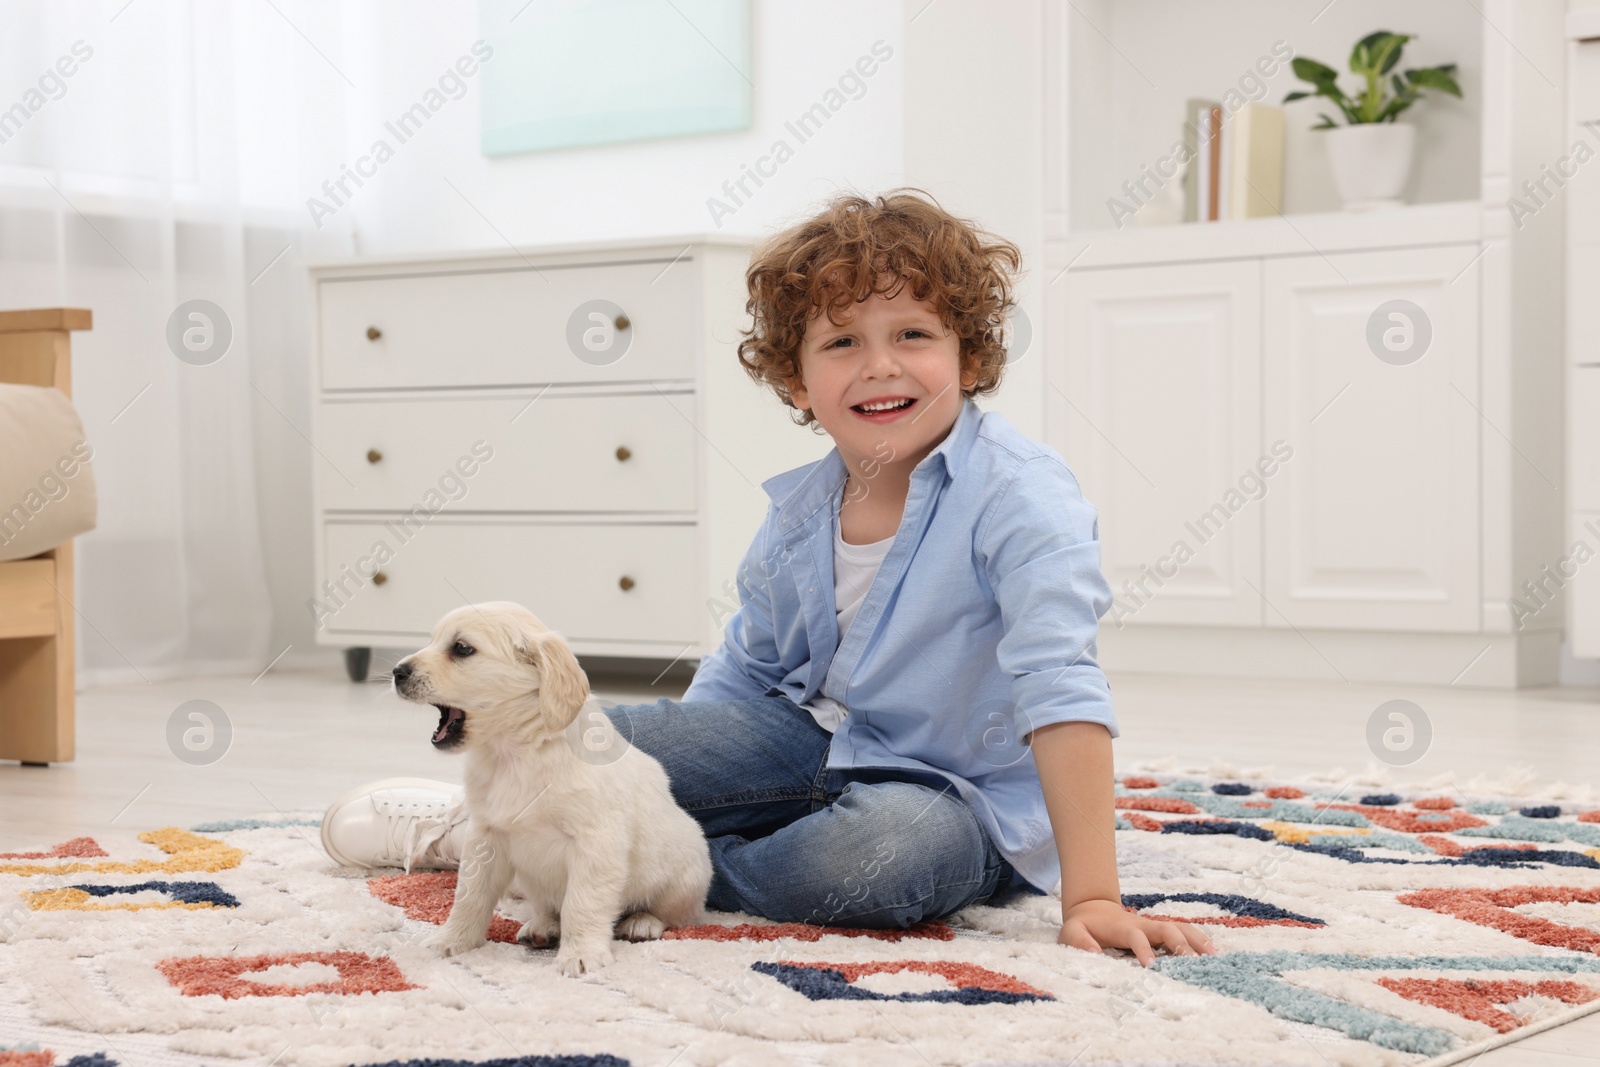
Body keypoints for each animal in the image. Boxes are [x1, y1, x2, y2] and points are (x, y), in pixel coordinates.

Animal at [390, 601, 710, 979]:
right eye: (432, 641)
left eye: (462, 649)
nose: (397, 672)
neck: (513, 753)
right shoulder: (486, 836)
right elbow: (470, 894)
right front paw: (452, 940)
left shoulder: (595, 842)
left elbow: (582, 903)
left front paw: (581, 954)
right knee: (547, 906)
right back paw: (542, 926)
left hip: (685, 876)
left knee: (674, 914)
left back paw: (642, 922)